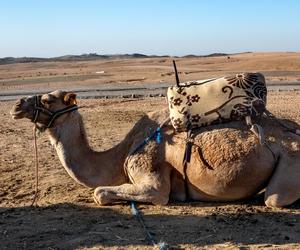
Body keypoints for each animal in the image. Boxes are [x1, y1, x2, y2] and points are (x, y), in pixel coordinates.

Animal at [9, 90, 300, 207]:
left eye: (49, 99)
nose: (16, 105)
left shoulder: (152, 179)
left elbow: (100, 193)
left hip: (291, 159)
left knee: (274, 198)